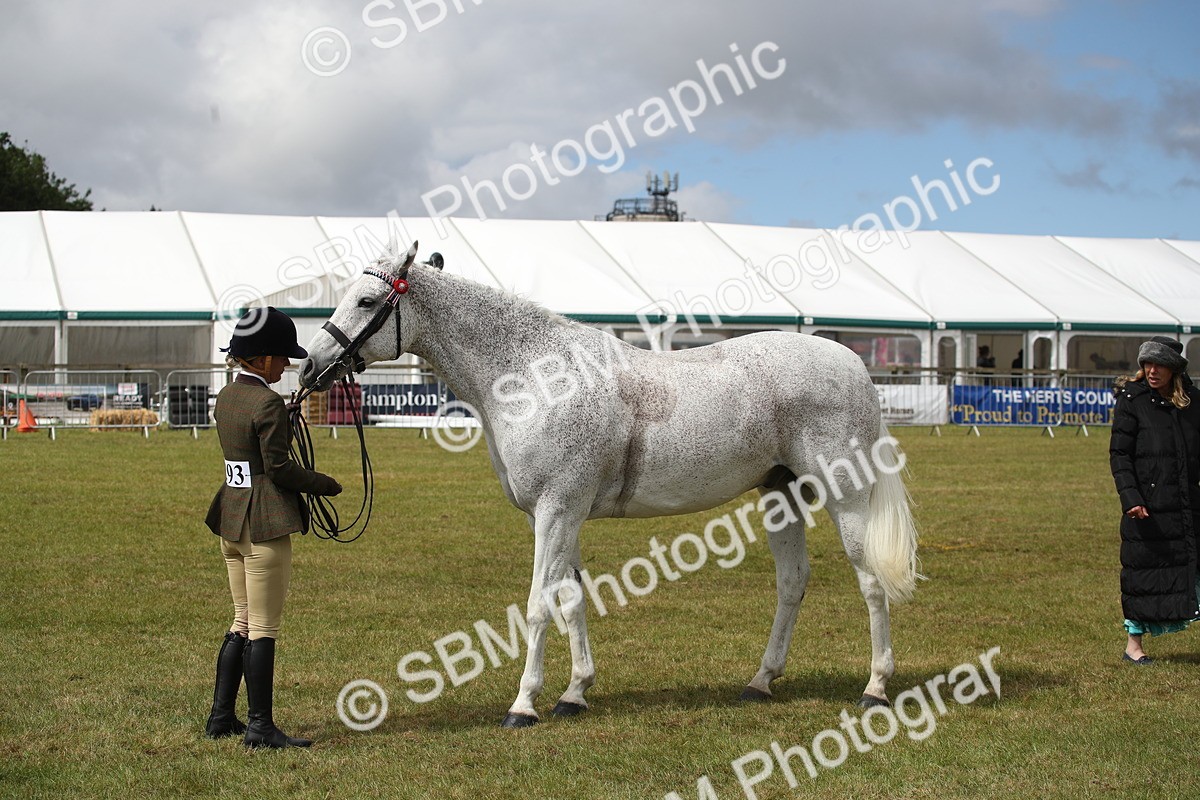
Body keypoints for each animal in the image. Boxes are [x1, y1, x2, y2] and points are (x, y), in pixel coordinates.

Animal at [298, 241, 919, 727]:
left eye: (367, 301)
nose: (308, 367)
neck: (536, 375)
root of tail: (852, 364)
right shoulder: (561, 513)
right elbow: (572, 599)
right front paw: (574, 693)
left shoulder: (554, 511)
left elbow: (537, 605)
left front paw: (523, 705)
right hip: (779, 494)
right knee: (792, 582)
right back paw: (761, 681)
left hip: (845, 496)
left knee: (869, 581)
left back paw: (874, 688)